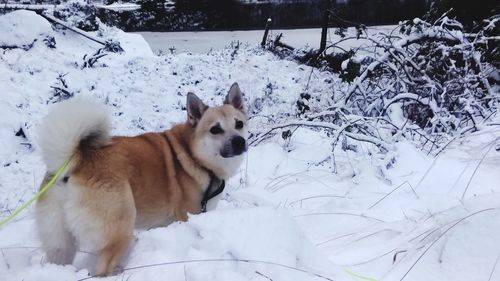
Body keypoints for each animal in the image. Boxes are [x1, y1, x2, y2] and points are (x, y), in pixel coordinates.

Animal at [34, 83, 249, 276]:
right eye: (215, 129)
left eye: (239, 124)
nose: (239, 142)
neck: (194, 156)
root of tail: (74, 161)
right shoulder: (187, 215)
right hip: (120, 226)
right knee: (102, 269)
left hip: (60, 242)